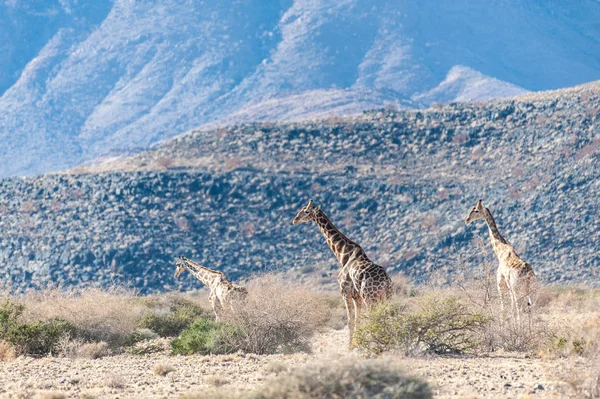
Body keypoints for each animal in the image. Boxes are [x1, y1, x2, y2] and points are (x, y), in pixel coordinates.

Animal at [292, 200, 394, 346]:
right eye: (300, 210)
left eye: (306, 211)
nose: (295, 220)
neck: (343, 255)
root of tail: (386, 281)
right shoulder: (357, 297)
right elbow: (357, 320)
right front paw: (356, 343)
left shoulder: (345, 293)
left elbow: (350, 321)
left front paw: (350, 346)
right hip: (386, 297)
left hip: (370, 297)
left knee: (376, 317)